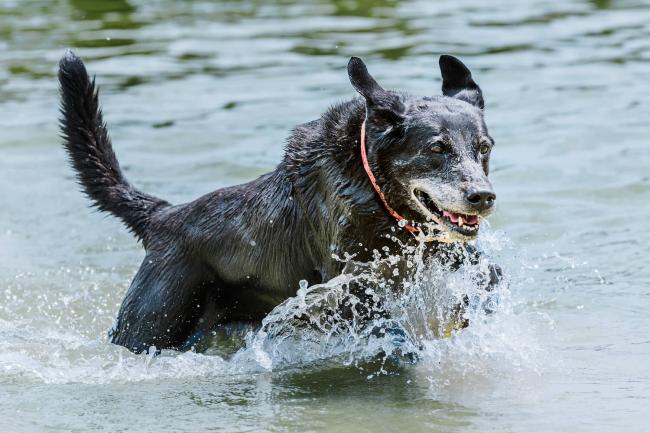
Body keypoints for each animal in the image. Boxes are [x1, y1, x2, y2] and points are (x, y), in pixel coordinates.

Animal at [58, 51, 498, 354]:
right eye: (436, 148)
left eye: (484, 147)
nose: (483, 196)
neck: (373, 188)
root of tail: (163, 217)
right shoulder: (347, 279)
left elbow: (488, 272)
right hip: (149, 323)